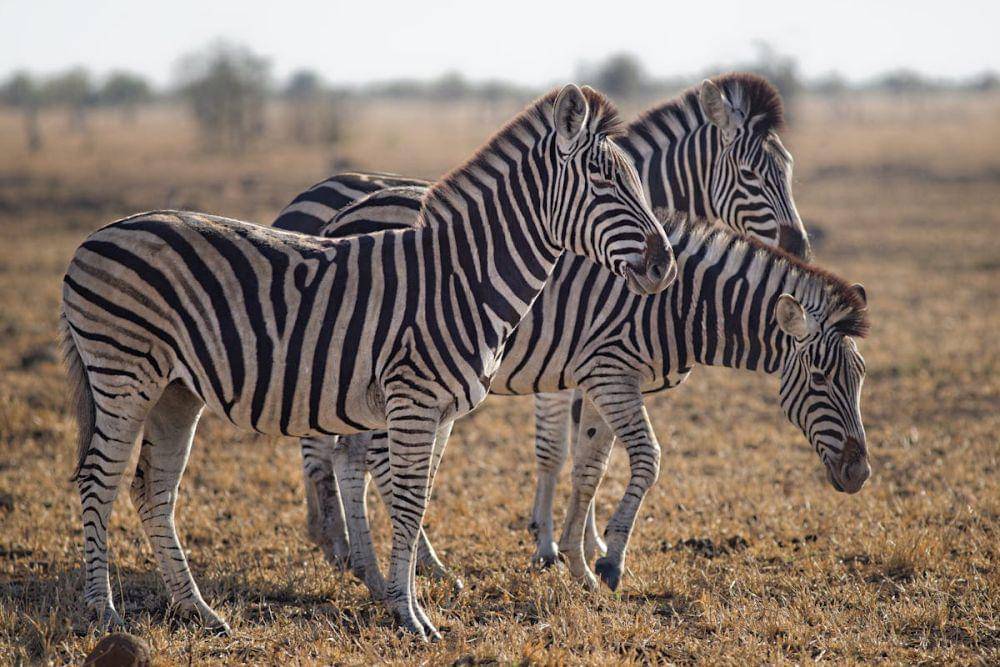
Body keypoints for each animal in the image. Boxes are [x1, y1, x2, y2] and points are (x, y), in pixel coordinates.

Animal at [59, 84, 677, 640]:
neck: (464, 278)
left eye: (636, 182)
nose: (664, 265)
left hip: (175, 391)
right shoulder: (414, 400)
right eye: (602, 181)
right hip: (123, 375)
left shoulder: (440, 411)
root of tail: (94, 237)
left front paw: (407, 601)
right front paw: (410, 617)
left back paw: (199, 611)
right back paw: (103, 612)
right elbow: (405, 503)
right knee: (99, 480)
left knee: (152, 489)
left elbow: (417, 501)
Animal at [306, 206, 870, 600]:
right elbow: (648, 459)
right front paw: (610, 561)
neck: (679, 303)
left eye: (860, 378)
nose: (860, 474)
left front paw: (577, 564)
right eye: (820, 378)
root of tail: (344, 215)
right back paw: (403, 569)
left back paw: (381, 568)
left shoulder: (604, 381)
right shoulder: (611, 372)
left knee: (351, 458)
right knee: (369, 462)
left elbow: (589, 470)